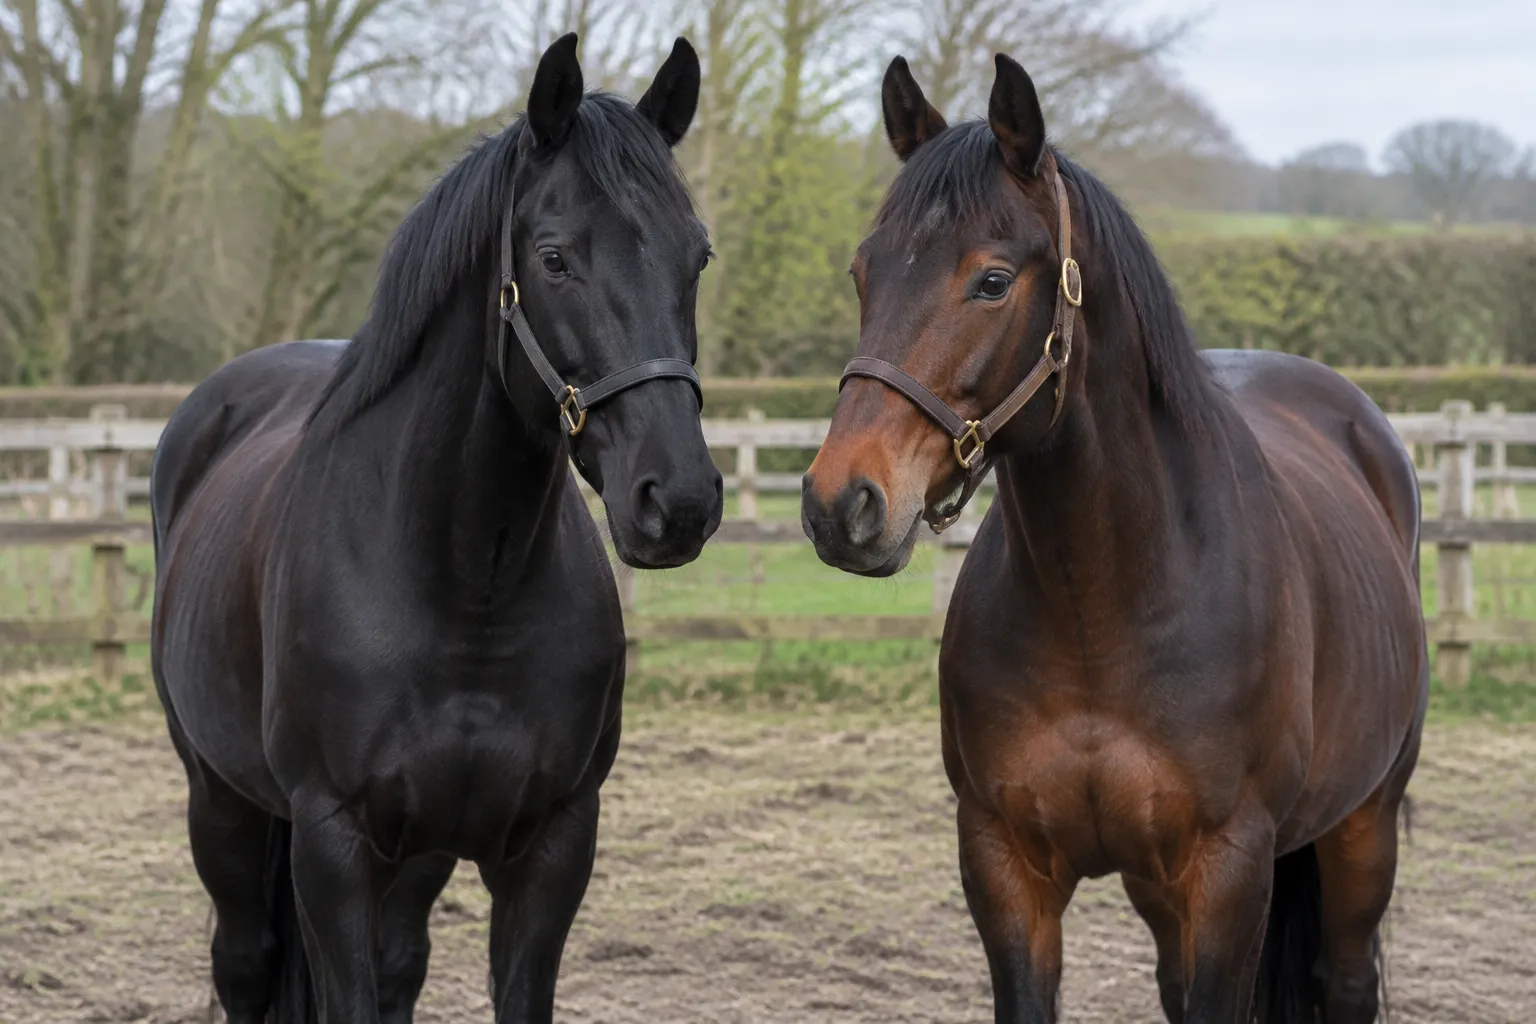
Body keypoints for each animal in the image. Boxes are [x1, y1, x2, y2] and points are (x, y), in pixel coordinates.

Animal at [149, 34, 722, 1024]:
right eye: (554, 258)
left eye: (698, 259)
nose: (677, 500)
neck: (464, 589)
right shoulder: (332, 846)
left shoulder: (551, 844)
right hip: (220, 802)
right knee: (244, 962)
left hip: (419, 850)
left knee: (399, 965)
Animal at [802, 53, 1426, 1024]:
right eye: (863, 273)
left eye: (992, 280)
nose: (843, 504)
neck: (1106, 599)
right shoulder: (1006, 866)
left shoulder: (1228, 873)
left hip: (1364, 827)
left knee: (1350, 978)